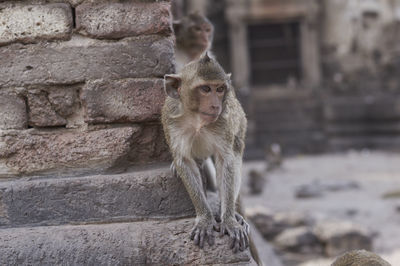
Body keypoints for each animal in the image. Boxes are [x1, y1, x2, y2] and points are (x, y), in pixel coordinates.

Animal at [161, 52, 248, 254]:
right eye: (206, 89)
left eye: (220, 89)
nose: (216, 106)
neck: (196, 119)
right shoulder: (171, 121)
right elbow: (184, 162)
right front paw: (204, 219)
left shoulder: (224, 122)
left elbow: (226, 161)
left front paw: (229, 220)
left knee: (235, 151)